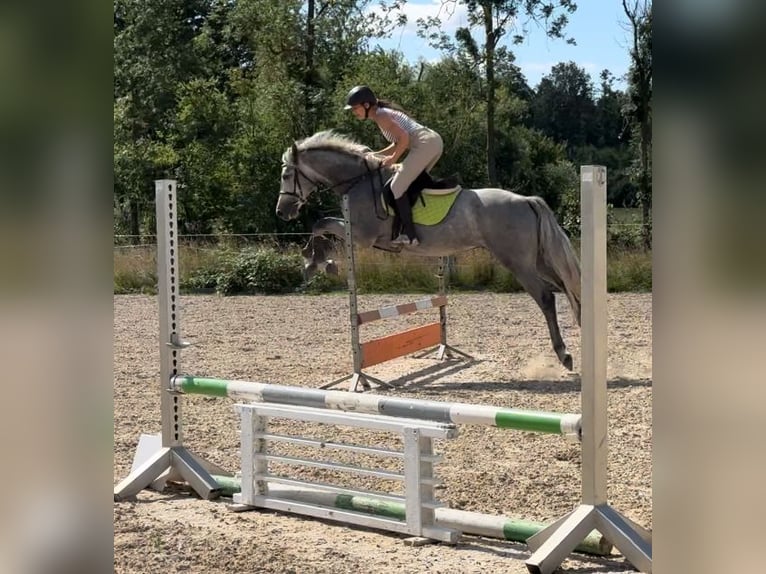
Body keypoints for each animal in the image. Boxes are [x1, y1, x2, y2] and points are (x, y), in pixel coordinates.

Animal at [275, 130, 582, 370]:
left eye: (287, 175)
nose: (282, 212)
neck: (356, 181)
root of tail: (527, 200)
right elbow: (320, 224)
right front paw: (315, 261)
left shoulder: (362, 236)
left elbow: (320, 223)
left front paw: (316, 263)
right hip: (539, 260)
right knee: (568, 287)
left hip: (518, 262)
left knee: (546, 297)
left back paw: (564, 354)